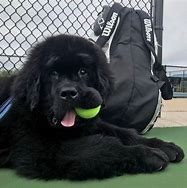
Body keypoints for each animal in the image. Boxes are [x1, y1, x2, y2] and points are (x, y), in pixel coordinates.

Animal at [0, 34, 184, 180]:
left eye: (83, 71)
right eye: (53, 74)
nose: (69, 93)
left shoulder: (92, 125)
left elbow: (125, 133)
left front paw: (163, 146)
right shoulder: (44, 151)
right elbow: (103, 146)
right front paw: (148, 154)